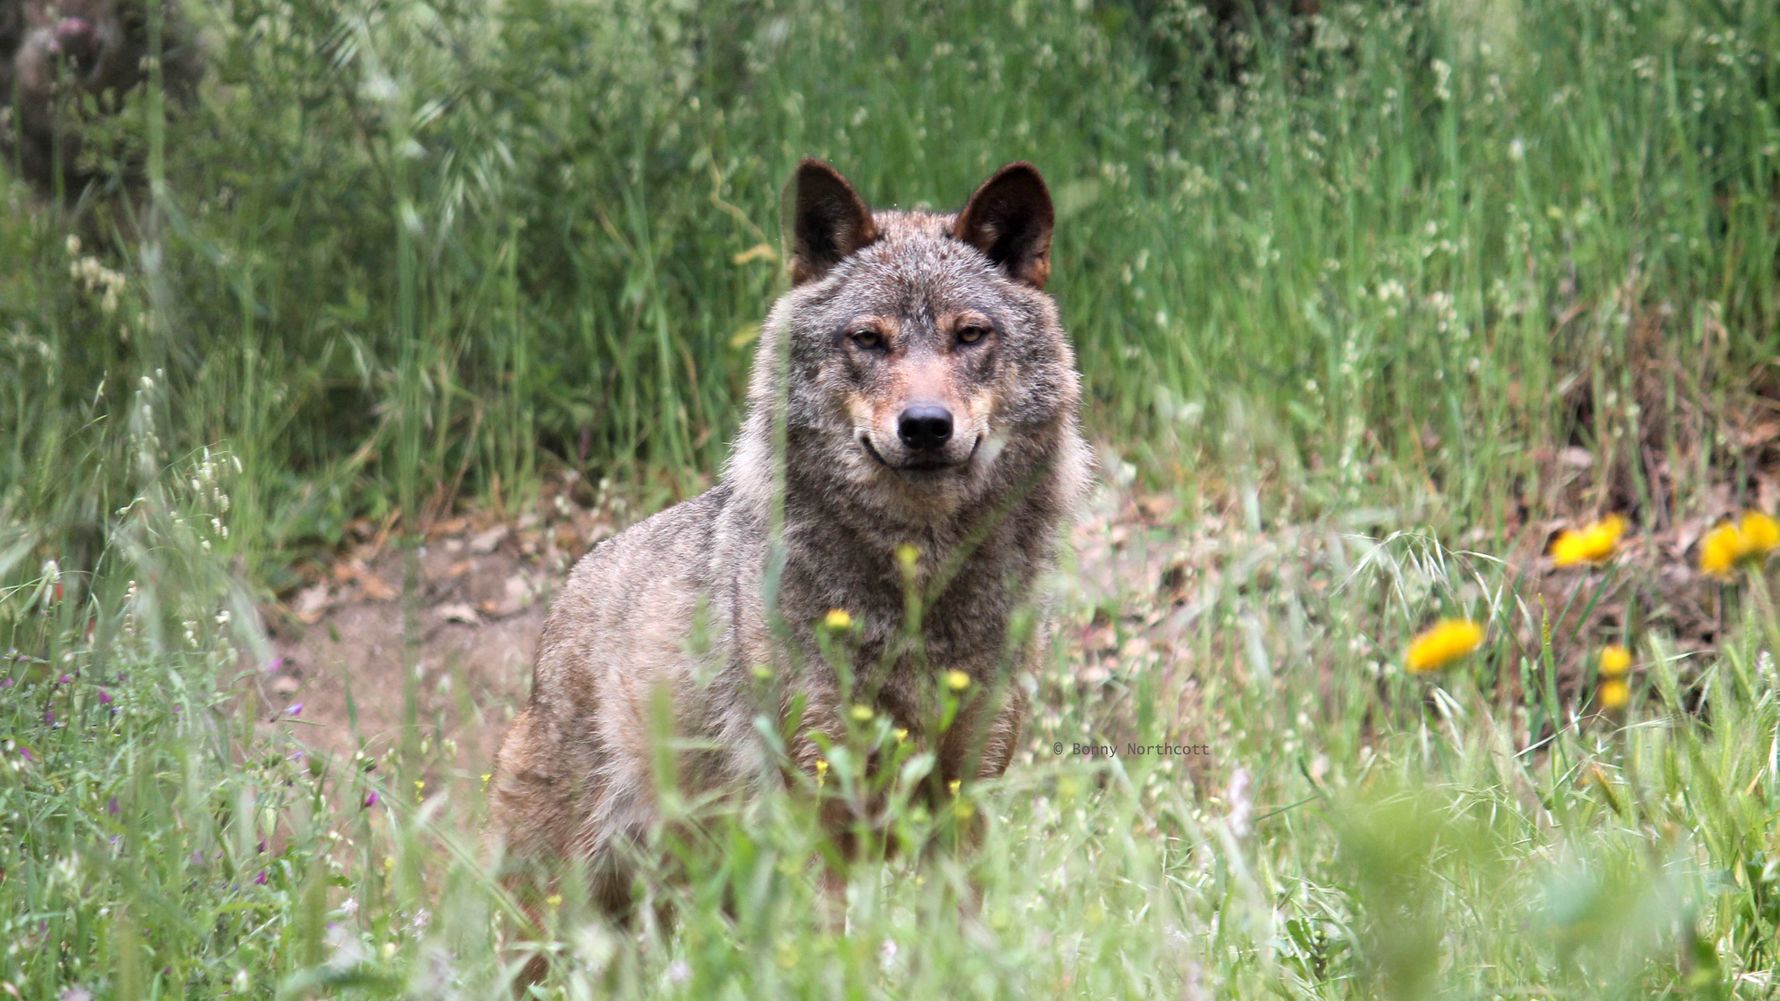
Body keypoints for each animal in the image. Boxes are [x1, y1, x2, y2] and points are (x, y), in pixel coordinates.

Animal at [486, 160, 1090, 965]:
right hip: (555, 912)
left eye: (970, 336)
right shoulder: (819, 810)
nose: (926, 426)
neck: (915, 588)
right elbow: (830, 956)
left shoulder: (962, 806)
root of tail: (567, 598)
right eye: (868, 340)